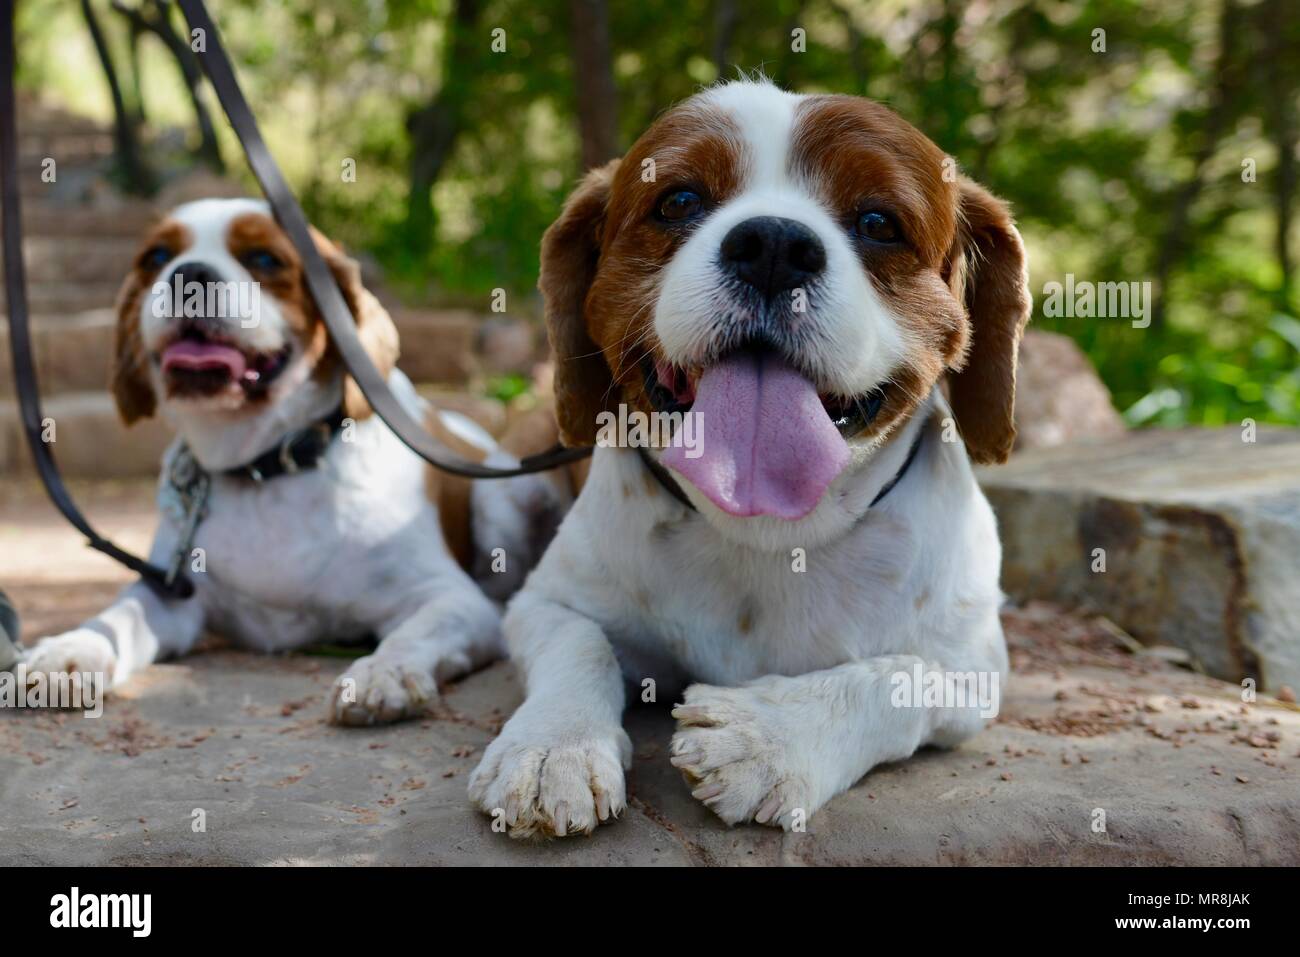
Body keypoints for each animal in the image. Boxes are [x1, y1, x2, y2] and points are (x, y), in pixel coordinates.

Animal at [17, 200, 561, 722]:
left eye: (264, 259)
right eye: (156, 256)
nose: (188, 274)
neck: (268, 466)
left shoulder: (452, 599)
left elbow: (415, 631)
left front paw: (383, 671)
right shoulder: (170, 596)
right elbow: (117, 616)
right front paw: (66, 649)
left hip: (499, 496)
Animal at [467, 78, 1024, 832]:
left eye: (879, 222)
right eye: (678, 201)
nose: (773, 246)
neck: (766, 533)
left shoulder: (973, 673)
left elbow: (898, 677)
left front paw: (768, 736)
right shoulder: (545, 603)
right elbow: (579, 644)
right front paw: (554, 745)